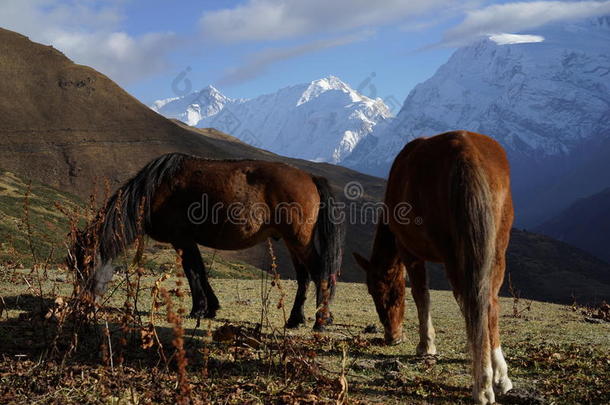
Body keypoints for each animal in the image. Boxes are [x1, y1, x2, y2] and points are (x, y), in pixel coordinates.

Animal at [67, 153, 342, 330]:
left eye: (86, 263)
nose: (80, 304)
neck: (154, 189)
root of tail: (310, 177)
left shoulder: (181, 239)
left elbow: (193, 273)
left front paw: (198, 309)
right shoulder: (188, 240)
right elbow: (199, 271)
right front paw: (210, 308)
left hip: (298, 240)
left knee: (319, 273)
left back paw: (320, 321)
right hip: (292, 241)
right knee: (304, 277)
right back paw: (296, 319)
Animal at [352, 131, 512, 402]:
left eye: (380, 293)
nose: (392, 338)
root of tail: (467, 153)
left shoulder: (410, 253)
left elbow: (421, 295)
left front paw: (426, 346)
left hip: (455, 255)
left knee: (472, 302)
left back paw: (482, 385)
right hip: (496, 250)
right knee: (489, 303)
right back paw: (499, 375)